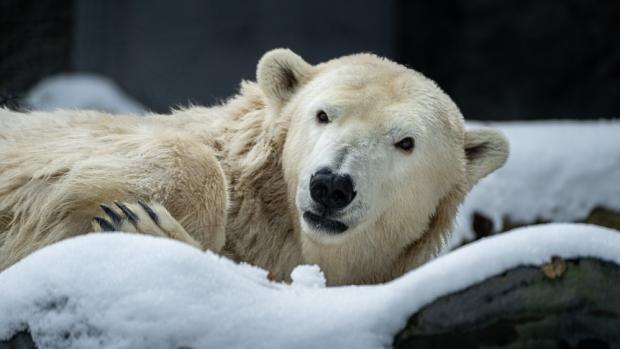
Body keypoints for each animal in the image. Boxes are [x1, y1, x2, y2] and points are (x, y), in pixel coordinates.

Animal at [0, 49, 508, 284]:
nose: (331, 186)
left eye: (405, 142)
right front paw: (136, 220)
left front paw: (148, 229)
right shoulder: (58, 150)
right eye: (323, 114)